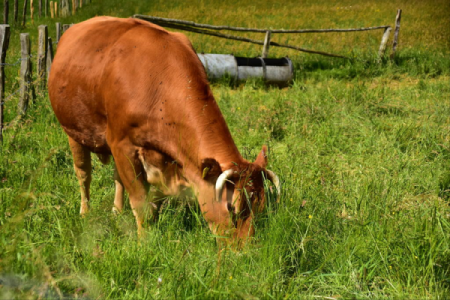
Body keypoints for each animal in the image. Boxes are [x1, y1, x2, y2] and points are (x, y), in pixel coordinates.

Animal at [50, 15, 282, 241]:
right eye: (232, 208)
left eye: (262, 208)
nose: (245, 248)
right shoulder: (122, 145)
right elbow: (140, 202)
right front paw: (144, 242)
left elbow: (152, 200)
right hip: (74, 131)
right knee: (83, 174)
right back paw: (85, 213)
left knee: (116, 178)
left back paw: (116, 211)